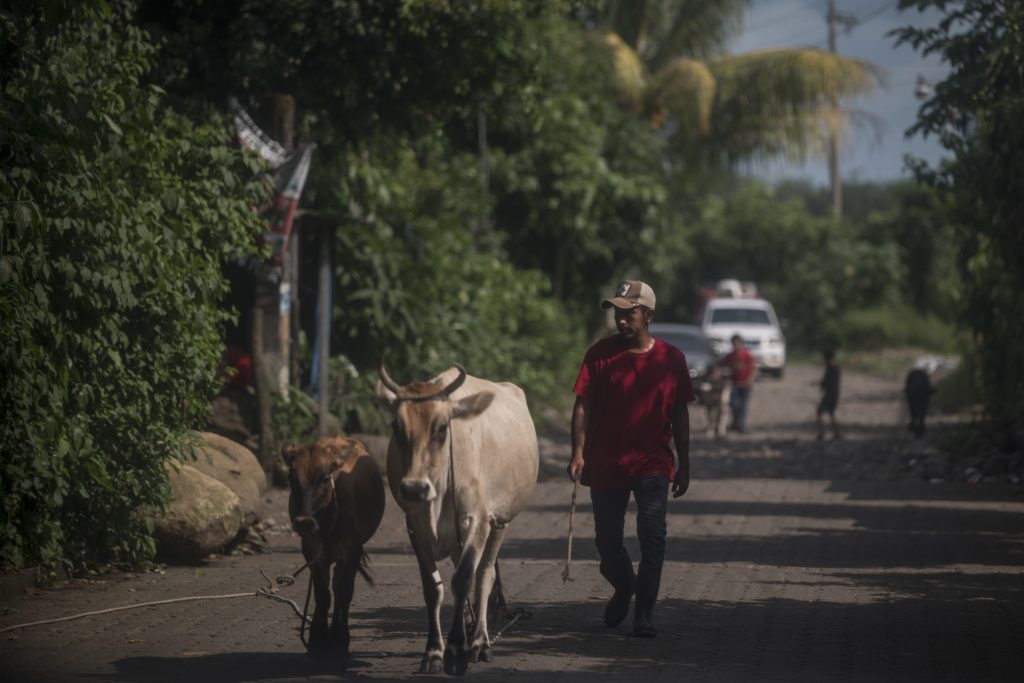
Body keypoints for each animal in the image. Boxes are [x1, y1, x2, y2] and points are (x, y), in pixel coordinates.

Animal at [282, 436, 385, 671]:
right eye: (292, 479)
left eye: (324, 479)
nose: (304, 522)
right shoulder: (310, 547)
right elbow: (322, 593)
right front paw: (317, 639)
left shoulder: (352, 548)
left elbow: (344, 591)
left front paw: (340, 640)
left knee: (338, 587)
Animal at [376, 366, 536, 675]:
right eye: (396, 427)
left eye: (441, 429)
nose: (414, 488)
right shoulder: (415, 528)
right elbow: (433, 588)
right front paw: (433, 652)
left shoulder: (478, 521)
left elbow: (464, 579)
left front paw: (456, 652)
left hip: (500, 522)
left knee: (485, 574)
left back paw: (480, 642)